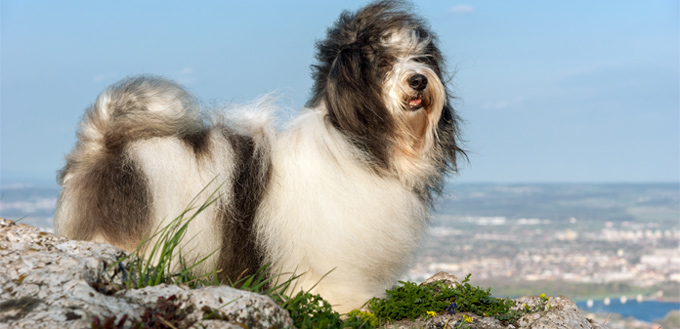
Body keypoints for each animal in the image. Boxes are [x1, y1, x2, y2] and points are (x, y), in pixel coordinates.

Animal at [55, 0, 464, 312]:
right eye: (383, 63)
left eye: (420, 58)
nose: (418, 80)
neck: (358, 145)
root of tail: (105, 143)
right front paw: (349, 307)